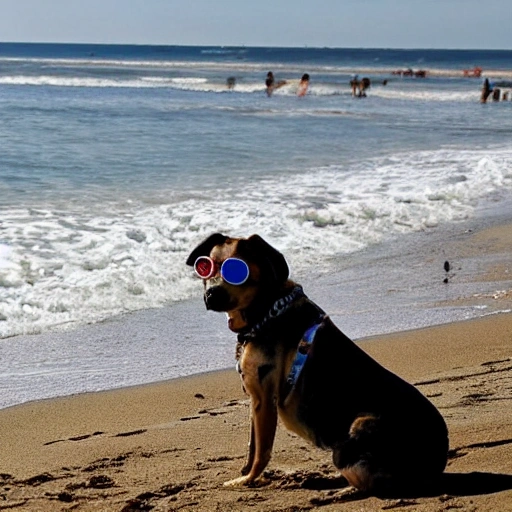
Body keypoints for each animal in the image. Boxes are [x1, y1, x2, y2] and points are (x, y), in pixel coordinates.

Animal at [185, 234, 448, 494]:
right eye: (205, 267)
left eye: (236, 270)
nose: (211, 295)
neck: (267, 310)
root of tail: (436, 463)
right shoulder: (255, 398)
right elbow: (252, 446)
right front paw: (245, 472)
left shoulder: (265, 399)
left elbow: (262, 452)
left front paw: (246, 480)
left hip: (357, 429)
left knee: (371, 482)